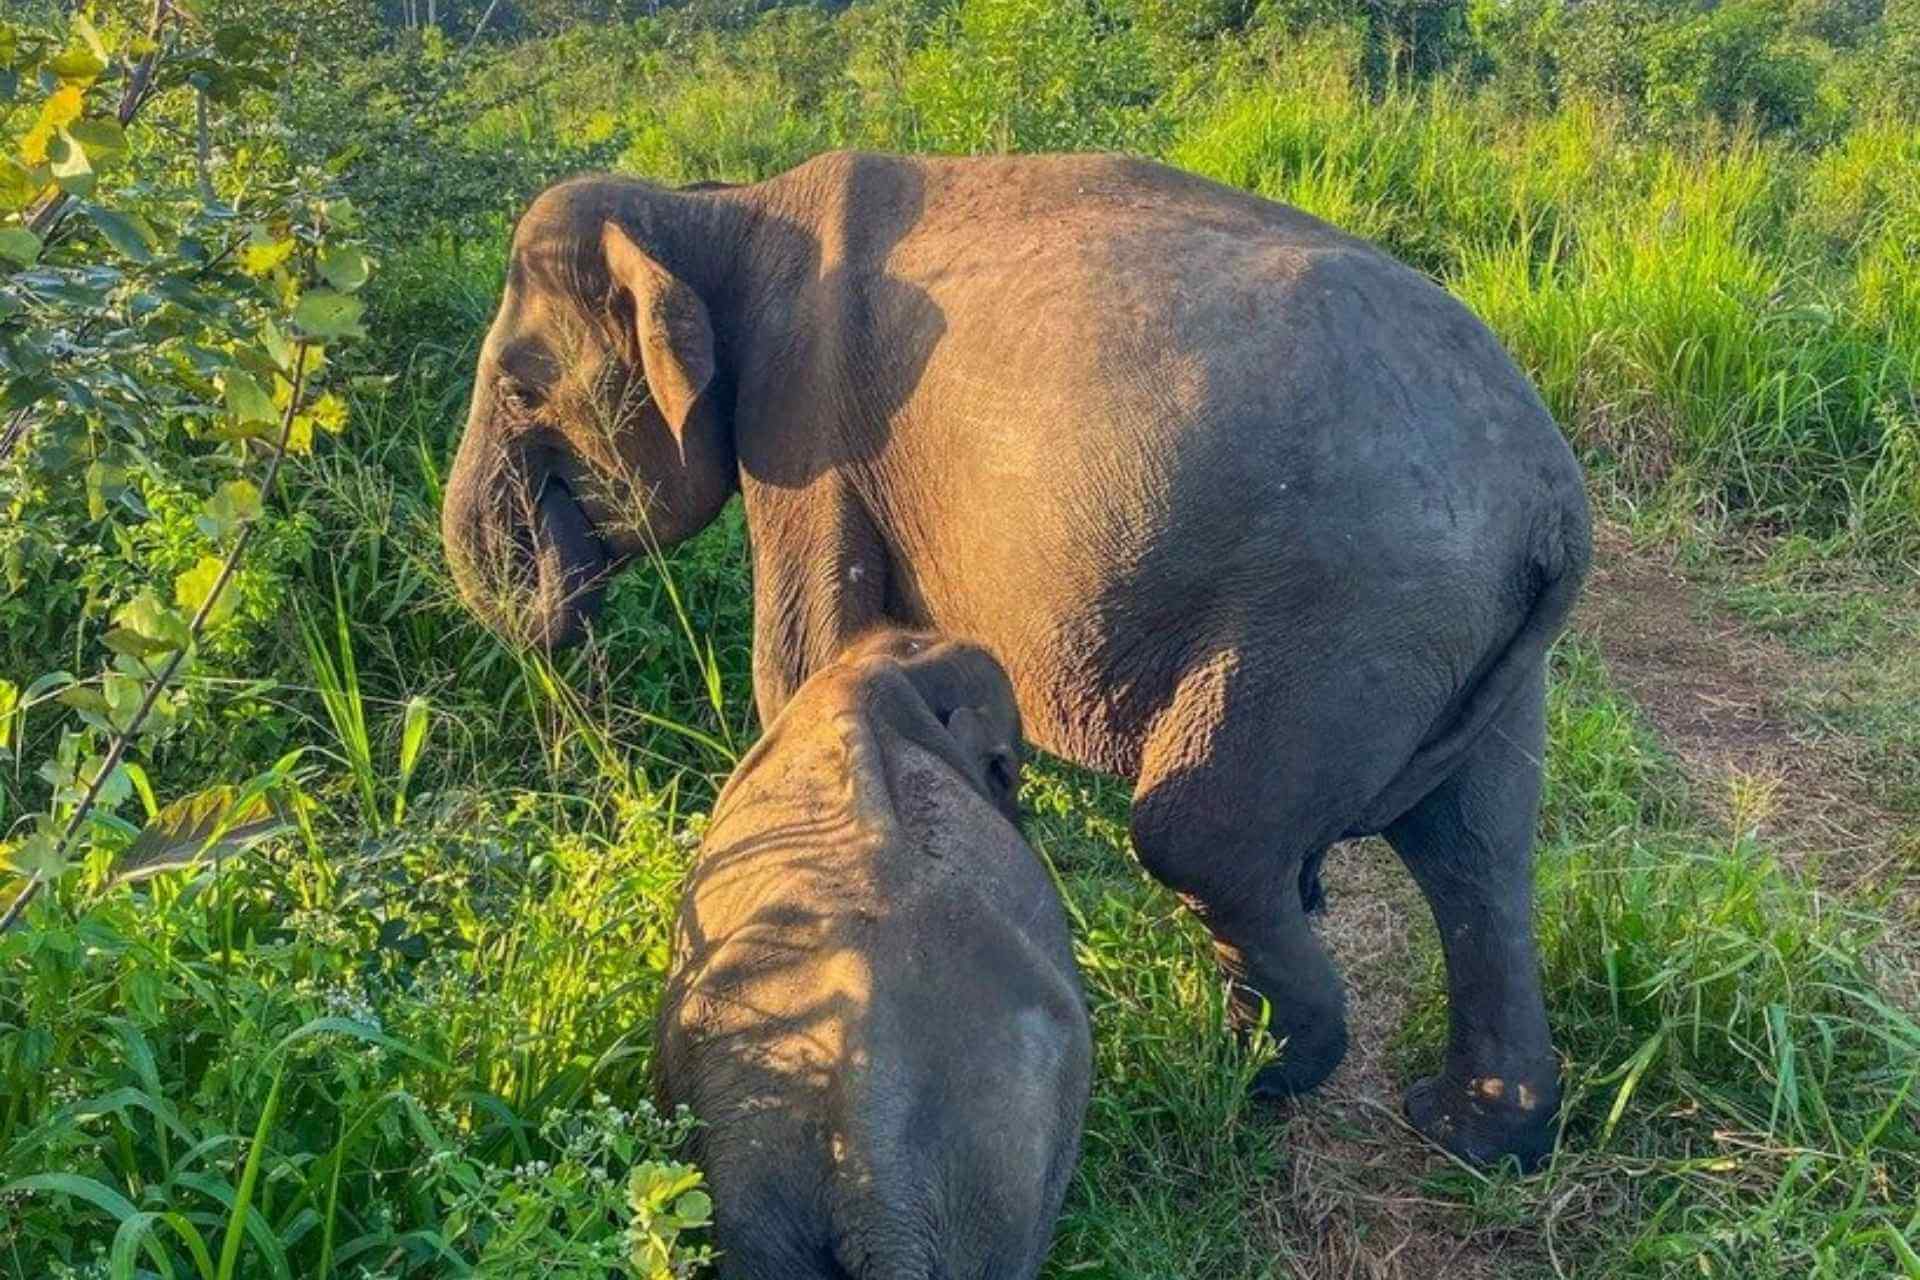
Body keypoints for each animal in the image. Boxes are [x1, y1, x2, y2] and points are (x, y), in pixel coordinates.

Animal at [440, 149, 1593, 1168]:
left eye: (518, 388)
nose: (559, 610)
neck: (715, 206)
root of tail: (1556, 502)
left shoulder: (806, 414)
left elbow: (802, 660)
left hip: (1341, 610)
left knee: (1205, 836)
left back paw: (1245, 1074)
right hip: (1446, 630)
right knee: (1477, 850)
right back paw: (1470, 1134)